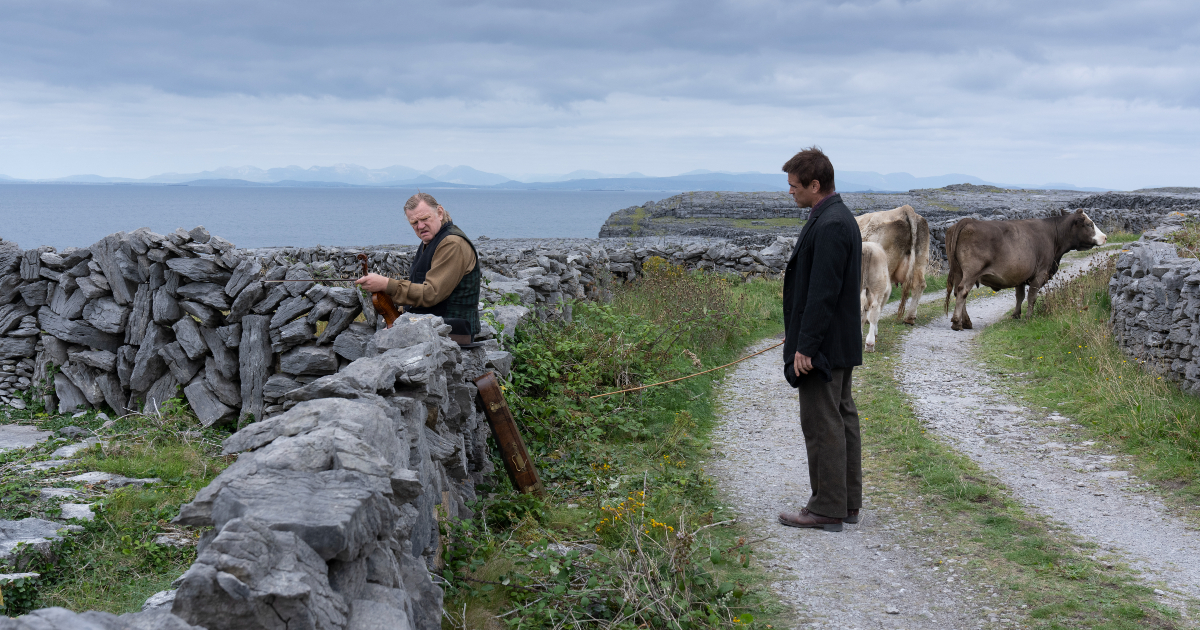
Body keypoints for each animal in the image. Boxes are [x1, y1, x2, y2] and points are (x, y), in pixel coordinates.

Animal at [940, 210, 1108, 331]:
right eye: (1089, 224)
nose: (1105, 237)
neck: (1053, 235)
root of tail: (968, 220)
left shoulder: (1020, 275)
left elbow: (1019, 296)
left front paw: (1016, 315)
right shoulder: (1040, 273)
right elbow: (1032, 296)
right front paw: (1028, 317)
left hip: (958, 271)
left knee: (958, 292)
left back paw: (966, 322)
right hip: (971, 271)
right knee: (963, 291)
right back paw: (957, 323)